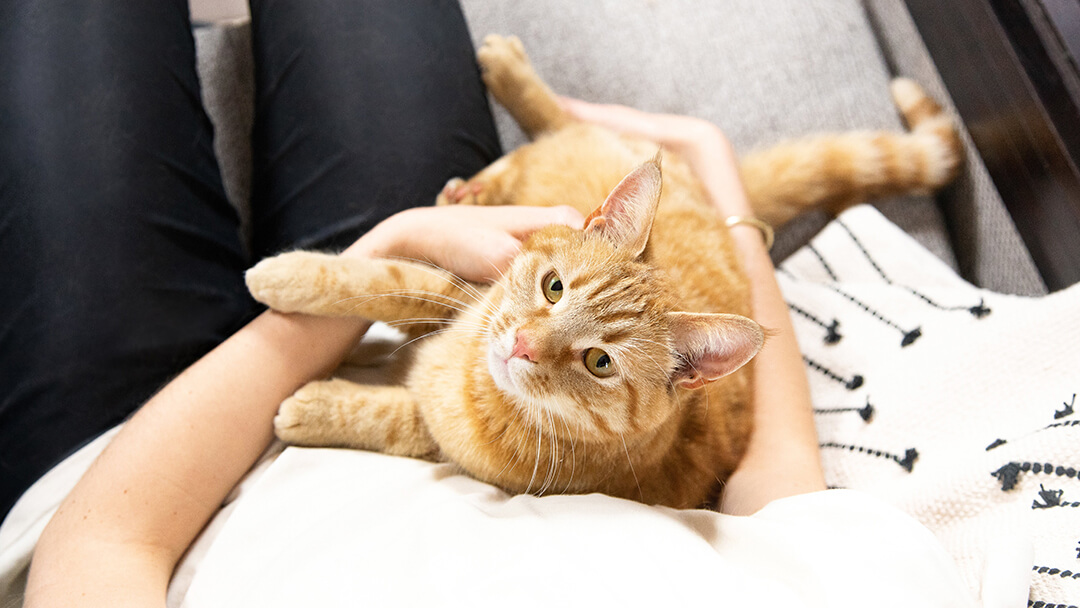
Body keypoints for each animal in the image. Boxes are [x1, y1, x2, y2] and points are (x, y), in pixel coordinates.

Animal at [247, 33, 963, 509]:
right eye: (553, 287)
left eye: (599, 363)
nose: (522, 344)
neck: (471, 379)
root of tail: (712, 203)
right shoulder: (462, 290)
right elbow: (384, 279)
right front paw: (286, 276)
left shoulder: (447, 440)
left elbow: (392, 415)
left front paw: (313, 407)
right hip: (591, 156)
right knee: (566, 126)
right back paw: (503, 103)